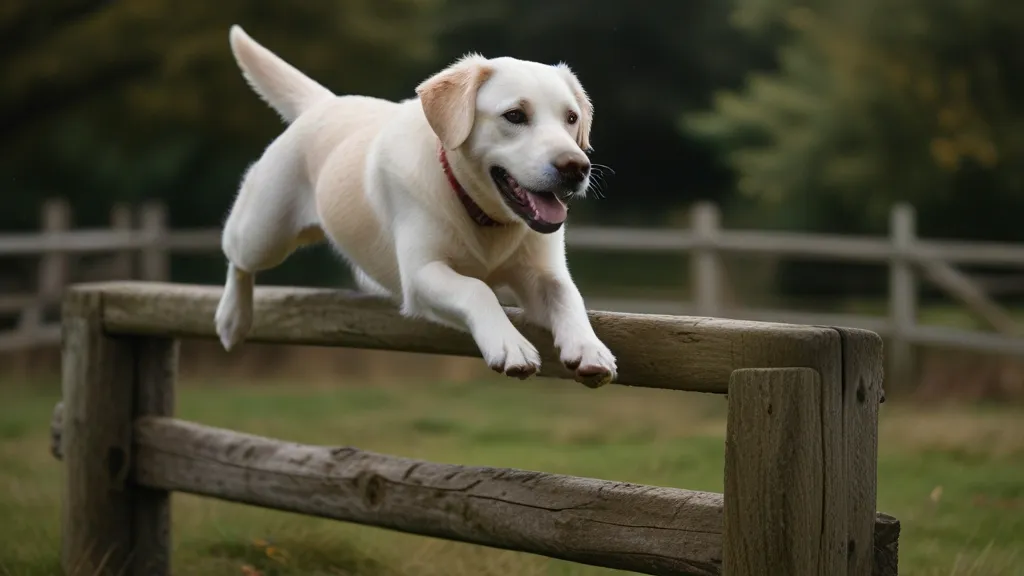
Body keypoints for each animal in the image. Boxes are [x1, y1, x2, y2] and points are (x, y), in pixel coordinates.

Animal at [216, 25, 614, 385]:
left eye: (571, 118)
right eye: (515, 115)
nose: (576, 168)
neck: (480, 212)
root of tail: (326, 102)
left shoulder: (542, 271)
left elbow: (568, 295)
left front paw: (590, 349)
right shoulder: (422, 273)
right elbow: (478, 289)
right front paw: (509, 345)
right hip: (263, 232)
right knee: (237, 257)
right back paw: (232, 317)